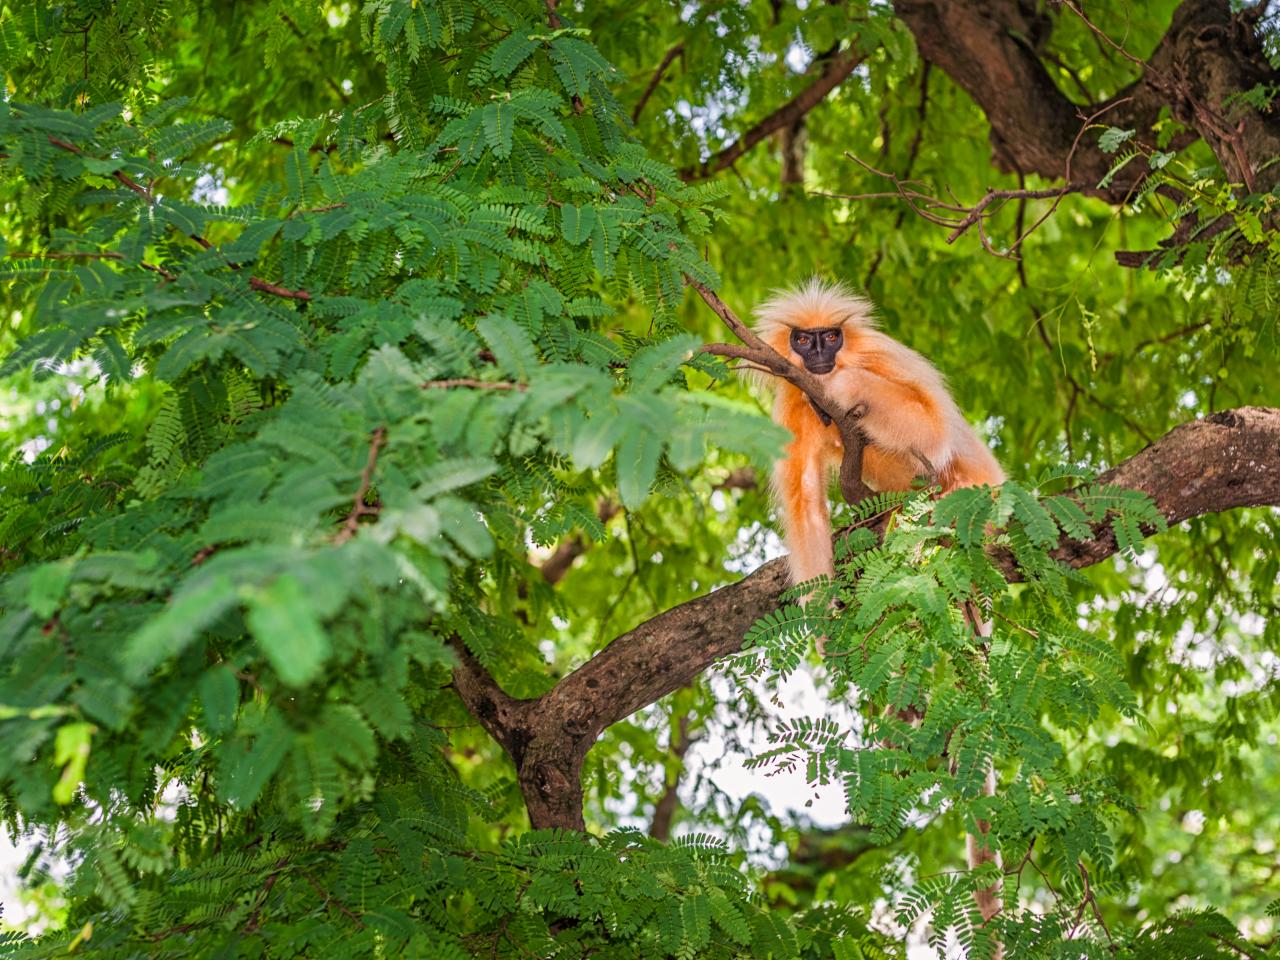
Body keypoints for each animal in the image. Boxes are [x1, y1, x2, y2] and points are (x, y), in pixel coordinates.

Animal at [752, 273, 1003, 583]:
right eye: (803, 339)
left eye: (831, 337)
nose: (819, 354)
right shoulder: (792, 402)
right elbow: (806, 502)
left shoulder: (878, 352)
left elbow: (936, 432)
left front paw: (840, 386)